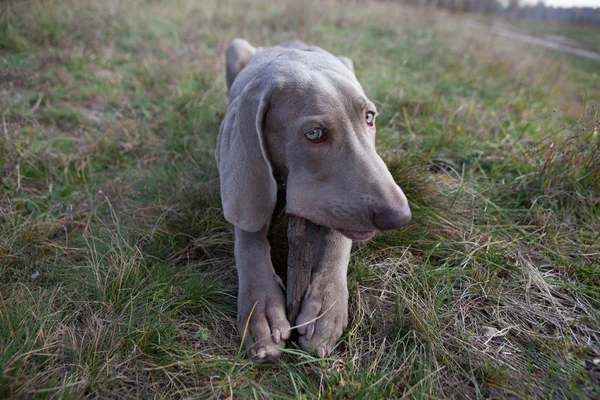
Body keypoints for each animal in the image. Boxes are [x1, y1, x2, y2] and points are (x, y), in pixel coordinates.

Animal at [213, 39, 410, 360]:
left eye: (369, 117)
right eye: (315, 134)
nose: (400, 216)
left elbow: (338, 238)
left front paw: (327, 306)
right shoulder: (246, 186)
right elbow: (249, 233)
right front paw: (260, 307)